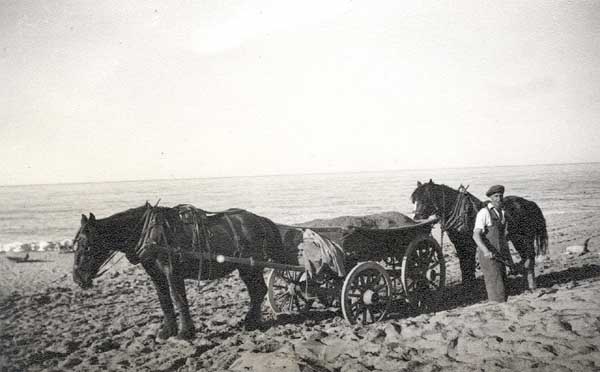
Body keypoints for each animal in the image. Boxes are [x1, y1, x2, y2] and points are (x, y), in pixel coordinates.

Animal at [72, 203, 288, 340]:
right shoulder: (155, 274)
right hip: (248, 268)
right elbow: (165, 301)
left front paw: (185, 333)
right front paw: (167, 331)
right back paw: (253, 321)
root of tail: (260, 220)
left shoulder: (172, 271)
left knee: (258, 291)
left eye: (87, 246)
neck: (150, 232)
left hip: (249, 267)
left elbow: (178, 299)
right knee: (257, 291)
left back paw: (251, 322)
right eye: (75, 244)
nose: (77, 278)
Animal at [412, 180, 548, 290]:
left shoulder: (469, 245)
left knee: (529, 258)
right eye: (415, 199)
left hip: (525, 239)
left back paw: (531, 283)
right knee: (526, 258)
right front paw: (466, 284)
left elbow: (469, 264)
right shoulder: (459, 245)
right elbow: (463, 264)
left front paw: (470, 284)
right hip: (517, 239)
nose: (416, 218)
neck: (461, 214)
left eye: (426, 197)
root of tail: (529, 203)